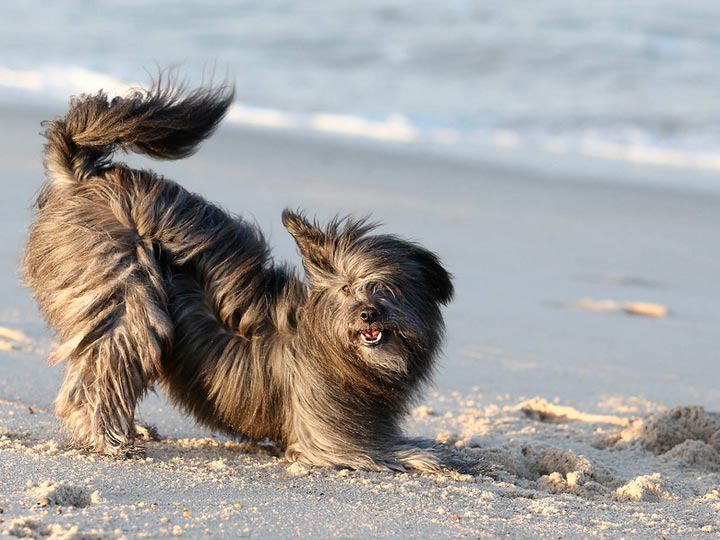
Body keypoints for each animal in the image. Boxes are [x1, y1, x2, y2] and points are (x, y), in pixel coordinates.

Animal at [22, 78, 454, 471]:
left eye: (389, 288)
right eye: (347, 287)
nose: (368, 314)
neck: (331, 346)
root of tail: (85, 180)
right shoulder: (327, 434)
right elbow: (371, 451)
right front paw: (425, 454)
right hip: (125, 294)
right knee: (101, 370)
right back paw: (108, 439)